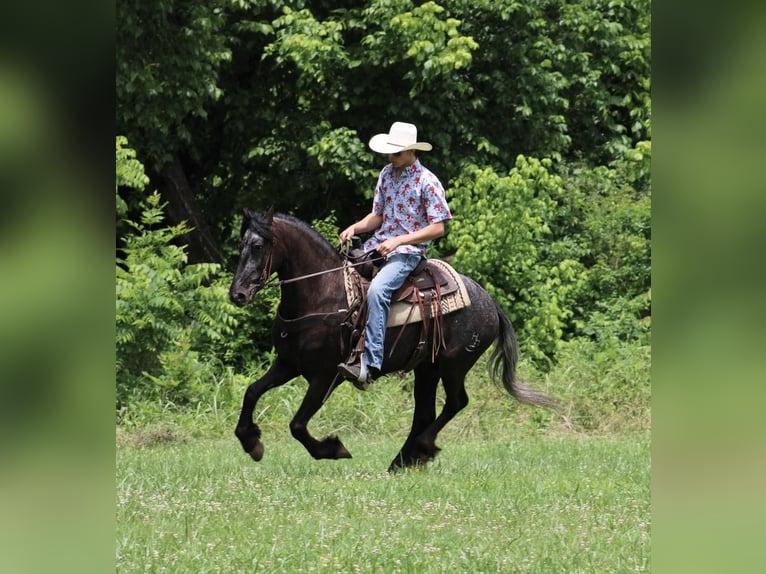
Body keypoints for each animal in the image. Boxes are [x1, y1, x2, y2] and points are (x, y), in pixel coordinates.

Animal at [228, 210, 560, 472]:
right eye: (241, 245)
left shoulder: (326, 376)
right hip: (427, 368)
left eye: (258, 246)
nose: (238, 295)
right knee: (425, 412)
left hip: (453, 365)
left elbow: (297, 425)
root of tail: (490, 303)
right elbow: (252, 391)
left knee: (456, 402)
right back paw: (403, 460)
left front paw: (333, 449)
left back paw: (422, 448)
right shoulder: (288, 364)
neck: (322, 293)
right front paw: (251, 442)